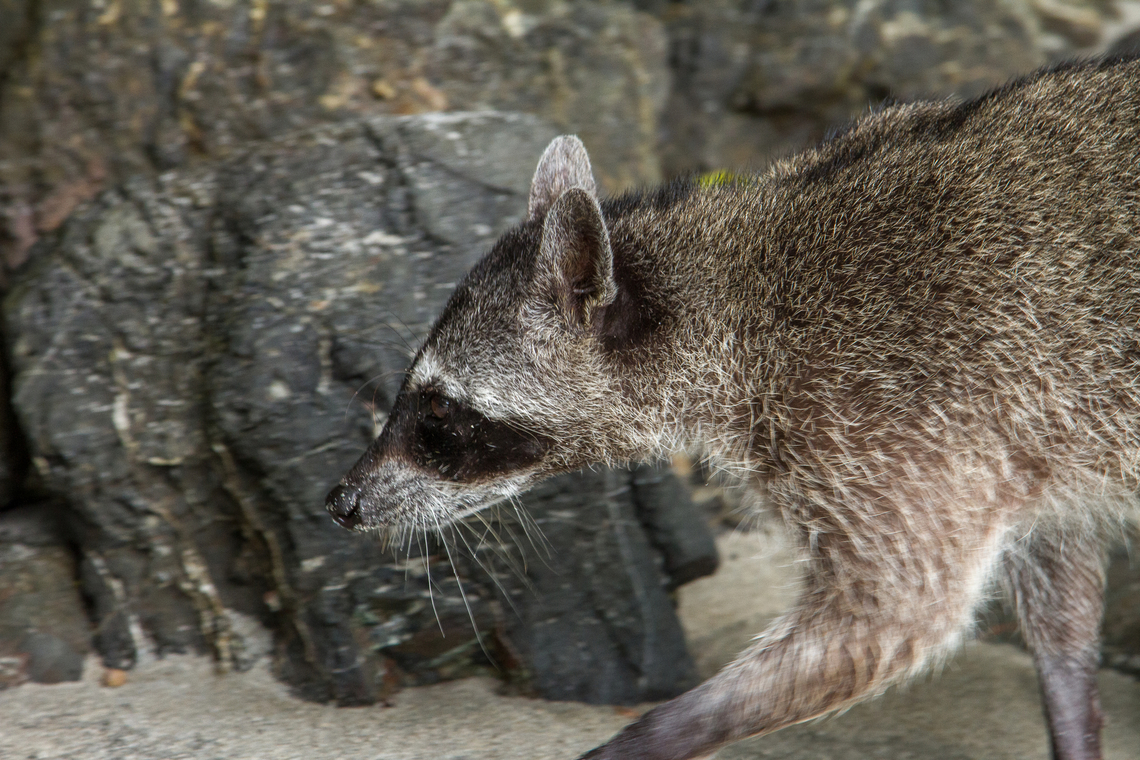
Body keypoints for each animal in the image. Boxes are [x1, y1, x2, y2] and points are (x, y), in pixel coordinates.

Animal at [327, 56, 1140, 760]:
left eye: (440, 414)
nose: (340, 501)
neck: (738, 287)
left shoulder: (889, 422)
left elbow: (895, 613)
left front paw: (656, 735)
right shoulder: (1026, 440)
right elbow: (1057, 576)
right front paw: (1072, 707)